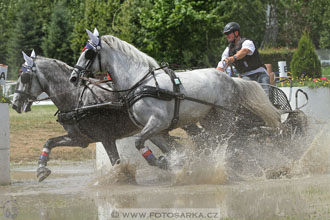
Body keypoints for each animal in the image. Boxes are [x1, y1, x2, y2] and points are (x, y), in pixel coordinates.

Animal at [11, 51, 173, 182]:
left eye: (24, 77)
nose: (14, 104)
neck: (77, 99)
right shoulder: (80, 139)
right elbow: (49, 142)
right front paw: (41, 170)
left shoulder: (106, 138)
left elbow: (116, 162)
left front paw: (120, 179)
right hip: (155, 131)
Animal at [70, 28, 282, 167]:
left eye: (88, 53)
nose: (73, 77)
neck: (140, 82)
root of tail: (232, 80)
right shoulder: (155, 129)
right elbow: (166, 147)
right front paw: (171, 162)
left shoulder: (158, 121)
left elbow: (139, 142)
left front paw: (160, 161)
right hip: (210, 118)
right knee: (220, 139)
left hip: (226, 116)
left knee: (232, 138)